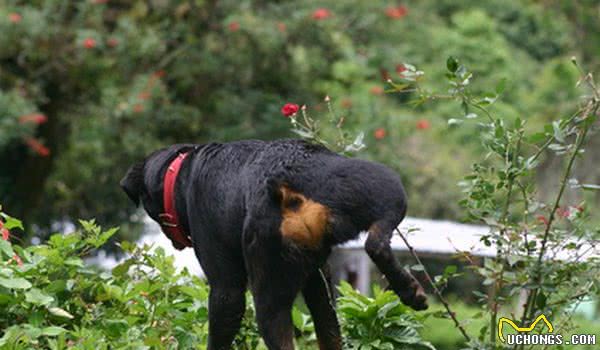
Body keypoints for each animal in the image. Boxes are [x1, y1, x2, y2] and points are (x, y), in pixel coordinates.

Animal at [120, 139, 426, 350]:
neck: (180, 175)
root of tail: (285, 187)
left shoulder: (225, 288)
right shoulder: (318, 276)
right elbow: (327, 327)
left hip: (267, 277)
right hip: (382, 184)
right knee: (376, 241)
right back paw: (409, 290)